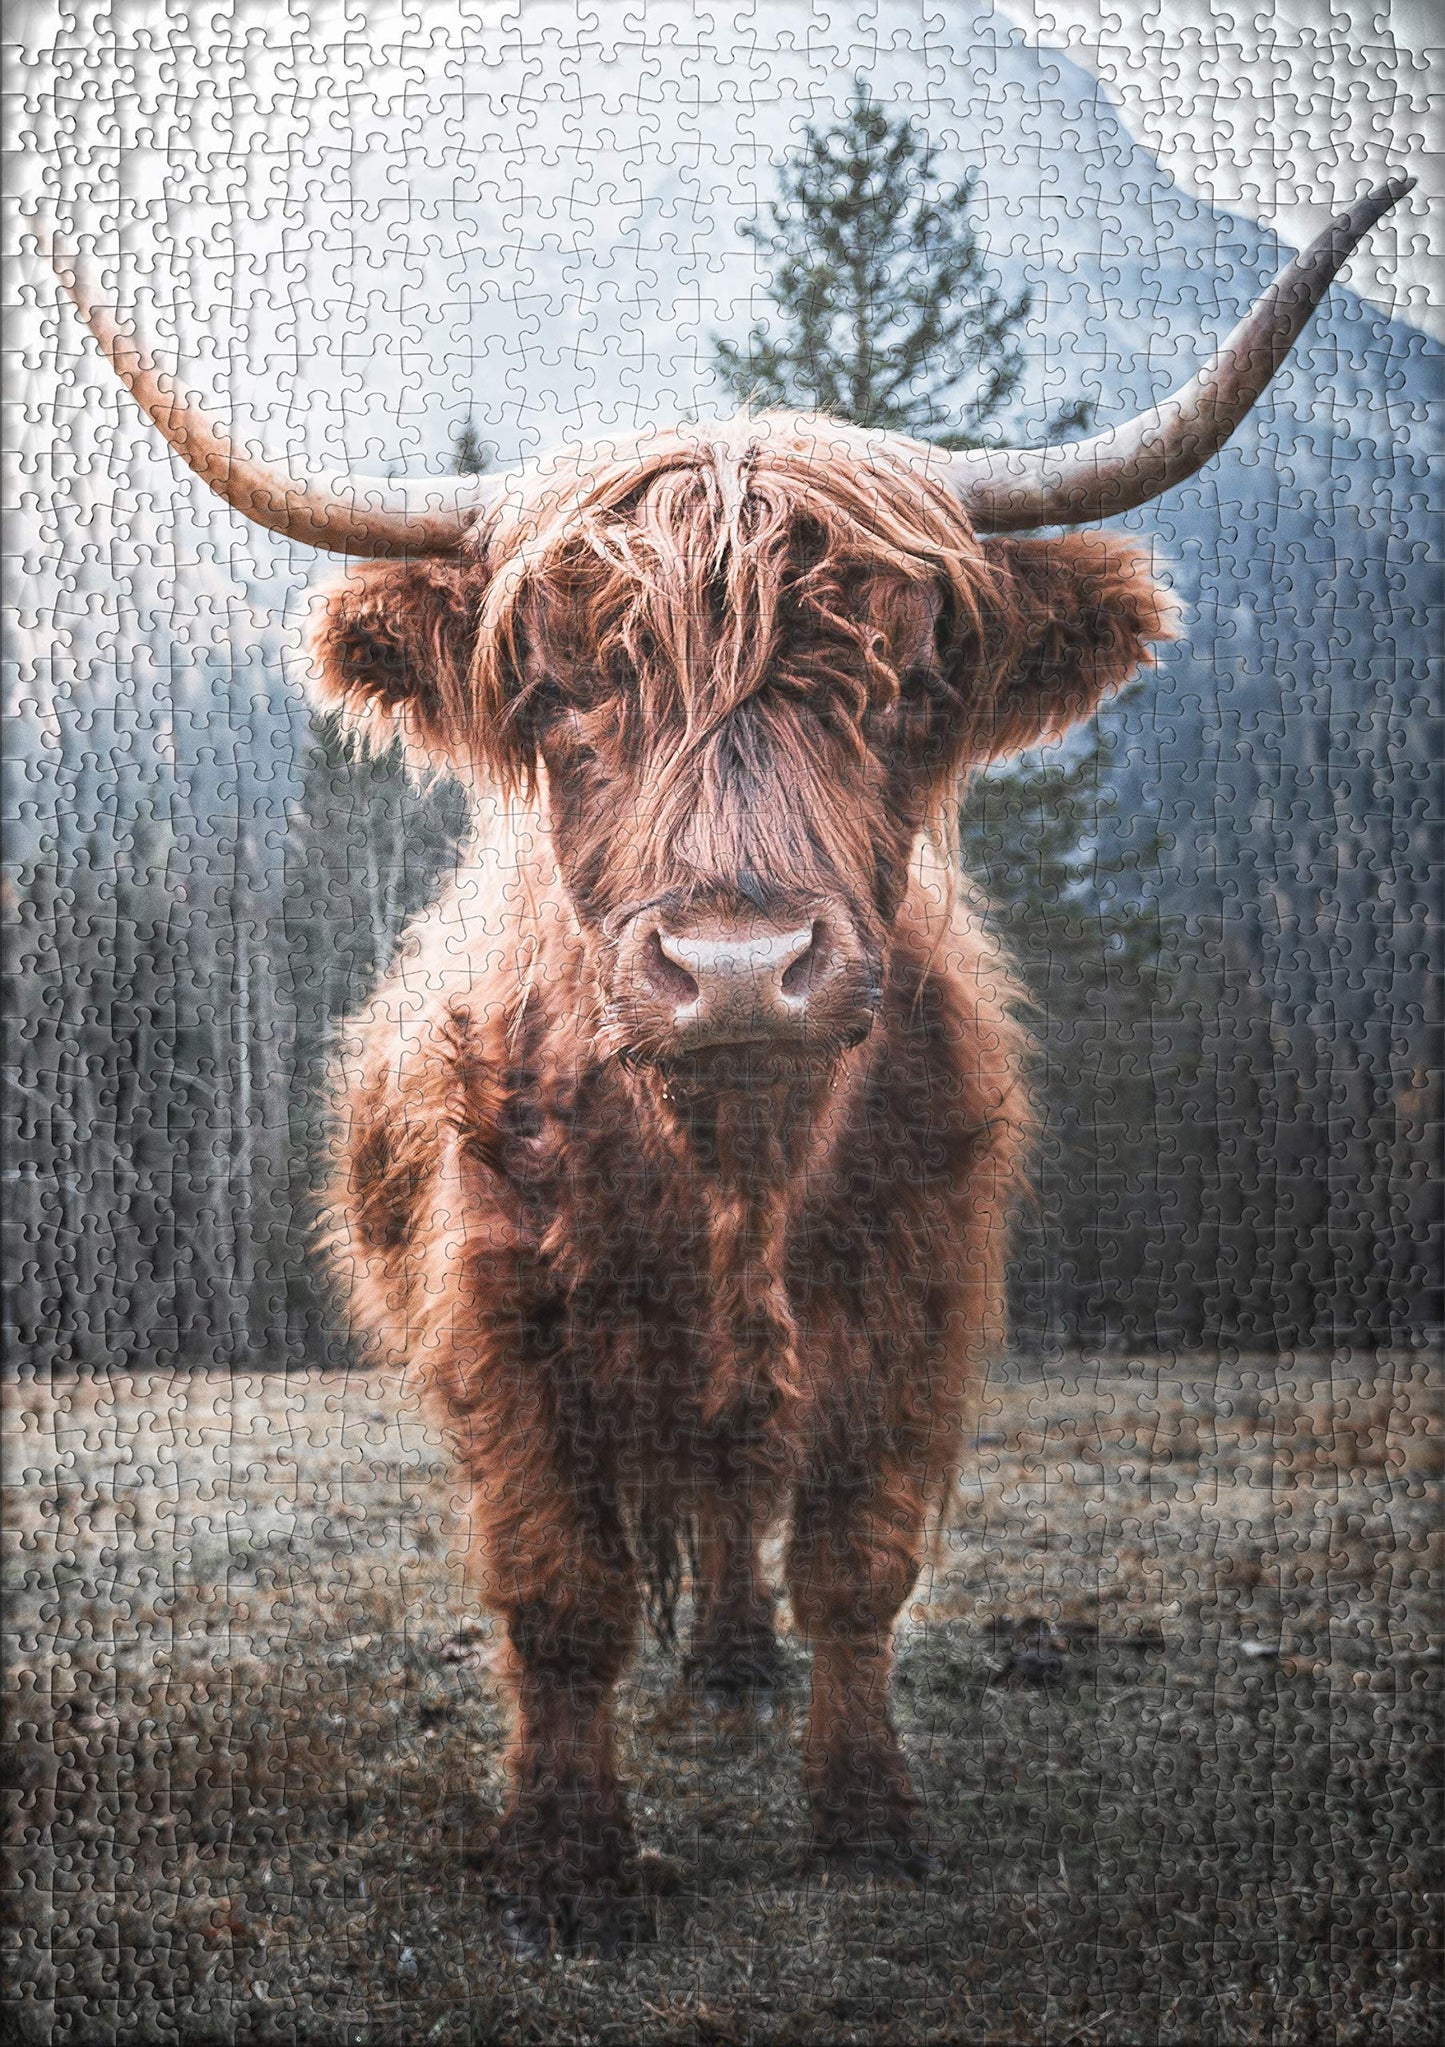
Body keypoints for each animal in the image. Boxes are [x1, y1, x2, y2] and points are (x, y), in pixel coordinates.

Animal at [49, 178, 1409, 1951]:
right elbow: (561, 1590)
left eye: (902, 686)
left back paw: (741, 1669)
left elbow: (854, 1562)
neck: (733, 1168)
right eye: (561, 691)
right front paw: (565, 1857)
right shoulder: (508, 1319)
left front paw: (865, 1814)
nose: (741, 966)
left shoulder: (911, 1307)